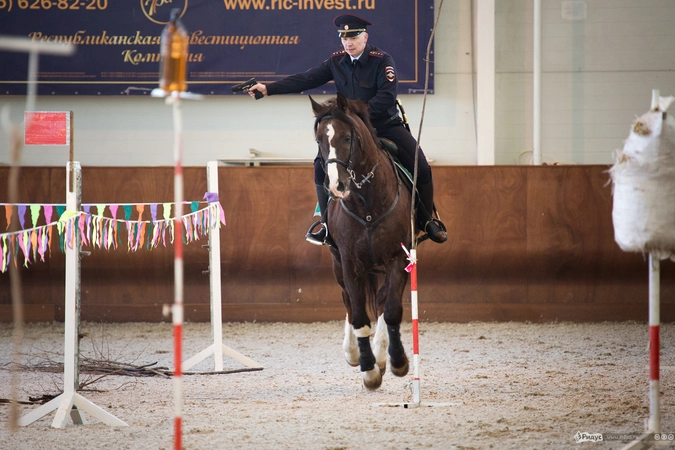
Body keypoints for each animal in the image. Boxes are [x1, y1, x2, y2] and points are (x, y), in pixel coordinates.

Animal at [310, 93, 412, 388]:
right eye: (319, 141)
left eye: (347, 138)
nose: (337, 186)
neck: (367, 202)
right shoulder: (349, 261)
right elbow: (358, 316)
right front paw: (368, 368)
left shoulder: (398, 258)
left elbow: (390, 310)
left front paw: (396, 361)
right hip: (338, 264)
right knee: (347, 299)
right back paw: (354, 351)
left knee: (381, 301)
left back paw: (381, 352)